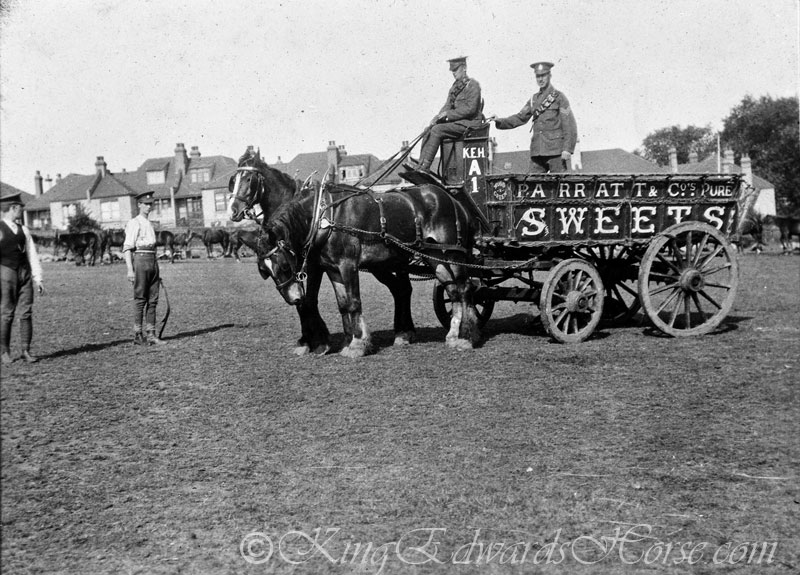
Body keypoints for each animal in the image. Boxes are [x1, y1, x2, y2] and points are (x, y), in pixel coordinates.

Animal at [260, 183, 478, 356]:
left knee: (464, 289)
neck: (325, 217)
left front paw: (357, 344)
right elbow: (343, 304)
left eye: (285, 265)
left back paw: (466, 337)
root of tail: (453, 200)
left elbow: (353, 302)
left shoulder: (347, 265)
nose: (293, 298)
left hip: (453, 254)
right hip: (434, 257)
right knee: (451, 290)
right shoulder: (331, 268)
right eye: (265, 272)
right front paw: (347, 342)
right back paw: (452, 335)